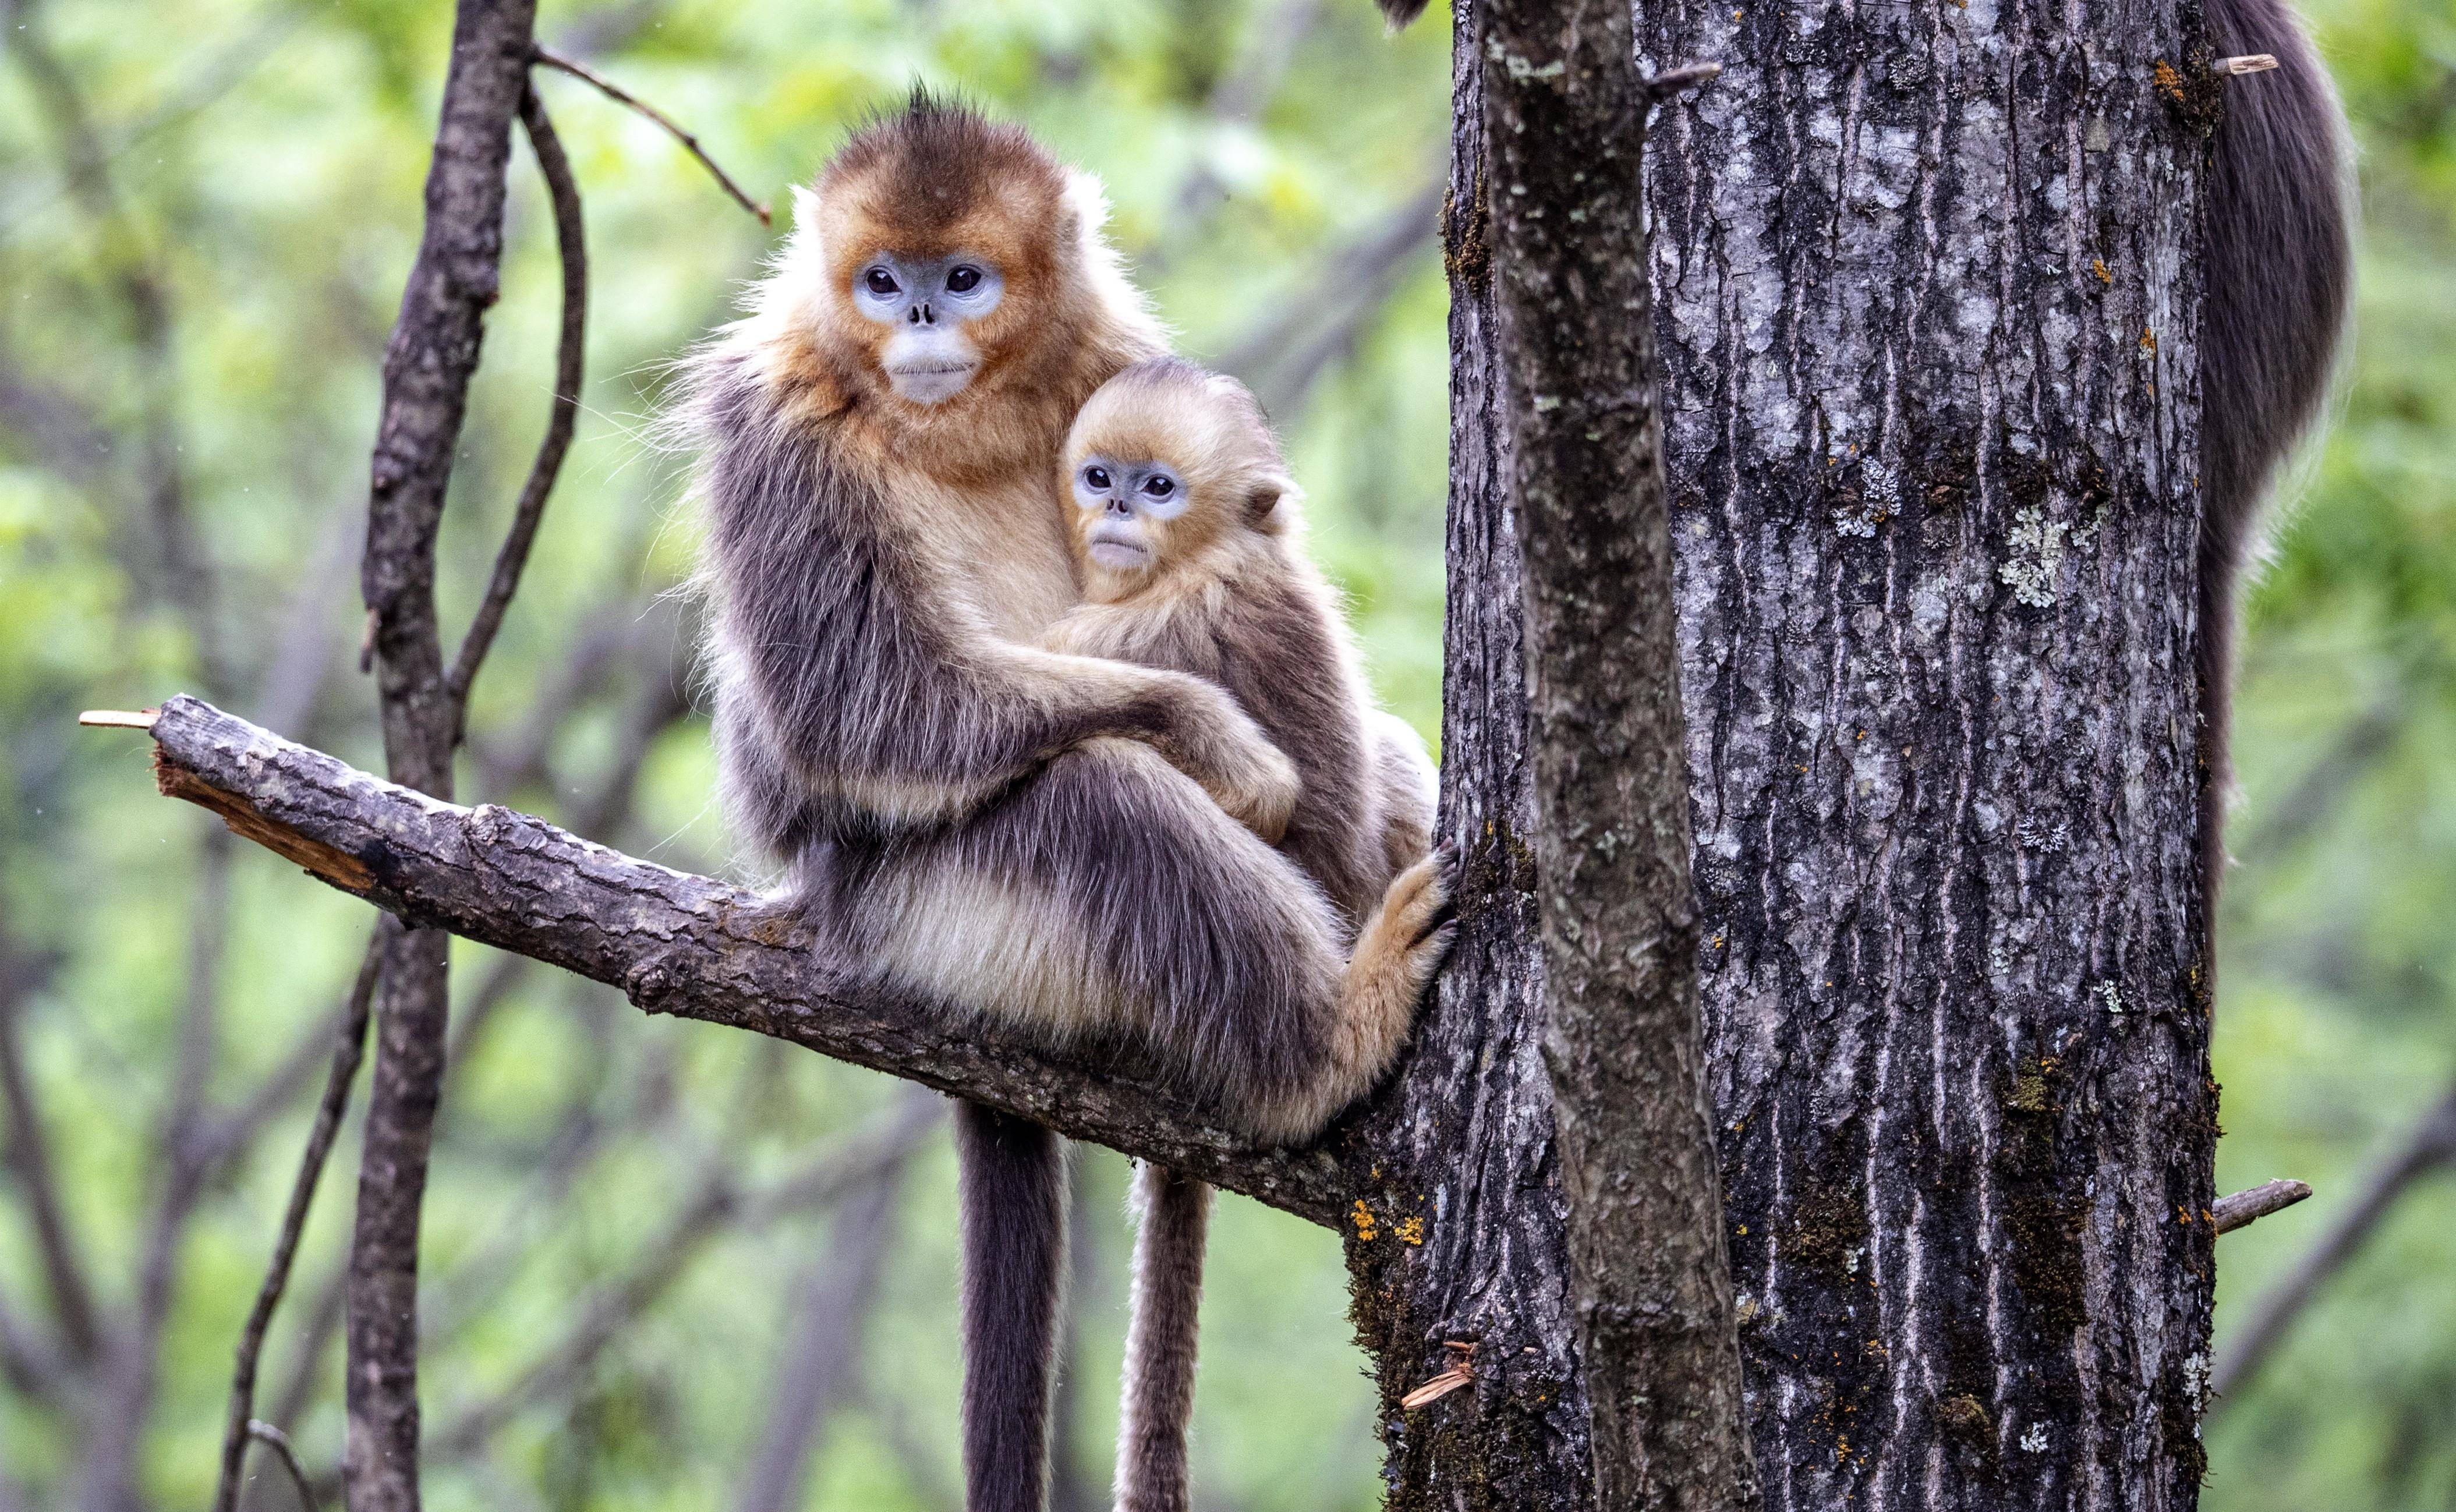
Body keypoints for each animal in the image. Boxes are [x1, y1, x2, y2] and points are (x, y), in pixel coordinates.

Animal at [1041, 358, 1434, 1512]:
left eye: (1160, 486)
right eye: (1100, 475)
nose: (1117, 513)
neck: (1218, 557)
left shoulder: (1124, 633)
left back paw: (1341, 1039)